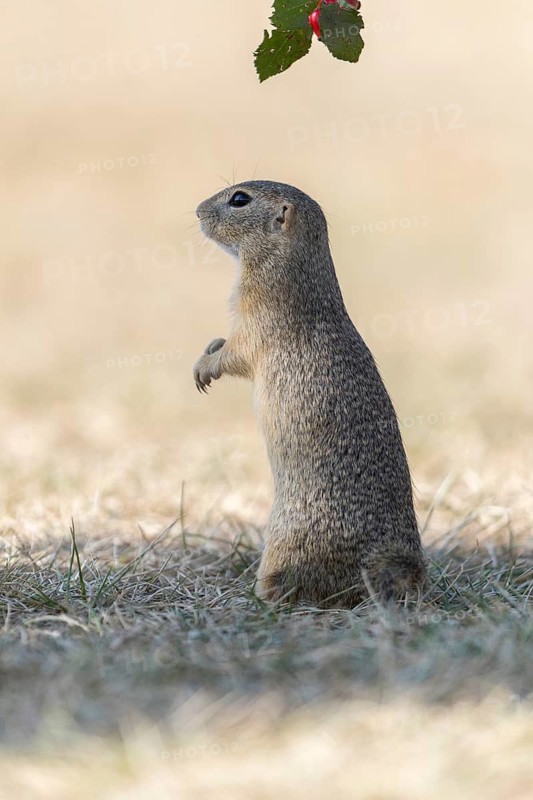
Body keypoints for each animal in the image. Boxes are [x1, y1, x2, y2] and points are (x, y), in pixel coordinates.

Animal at [194, 181, 426, 607]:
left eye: (240, 199)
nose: (198, 211)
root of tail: (402, 569)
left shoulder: (259, 318)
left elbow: (236, 353)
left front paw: (205, 367)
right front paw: (208, 348)